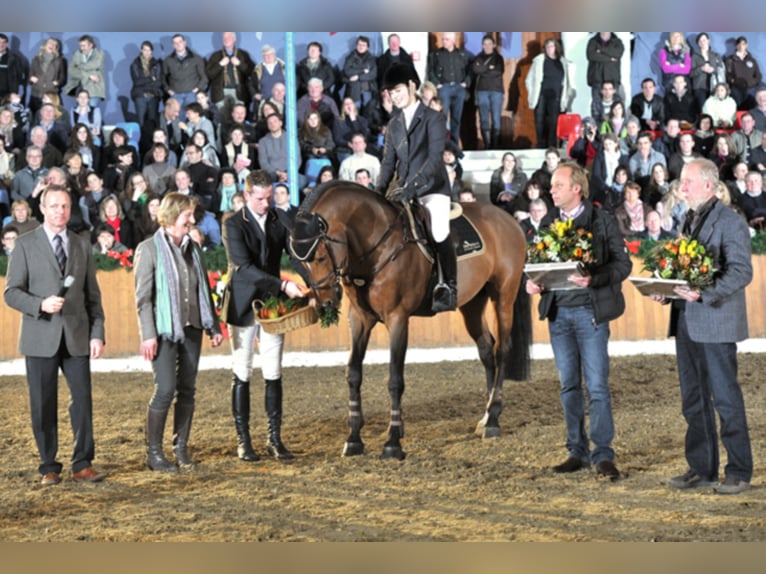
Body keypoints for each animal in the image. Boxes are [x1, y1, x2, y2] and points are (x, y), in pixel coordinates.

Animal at [292, 182, 532, 462]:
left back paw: (493, 420)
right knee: (486, 349)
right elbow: (353, 373)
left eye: (320, 257)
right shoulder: (360, 319)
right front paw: (353, 439)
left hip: (503, 296)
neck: (374, 244)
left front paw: (393, 442)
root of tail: (508, 218)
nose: (326, 303)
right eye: (302, 262)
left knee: (502, 350)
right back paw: (485, 417)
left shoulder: (398, 318)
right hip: (472, 303)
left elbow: (395, 378)